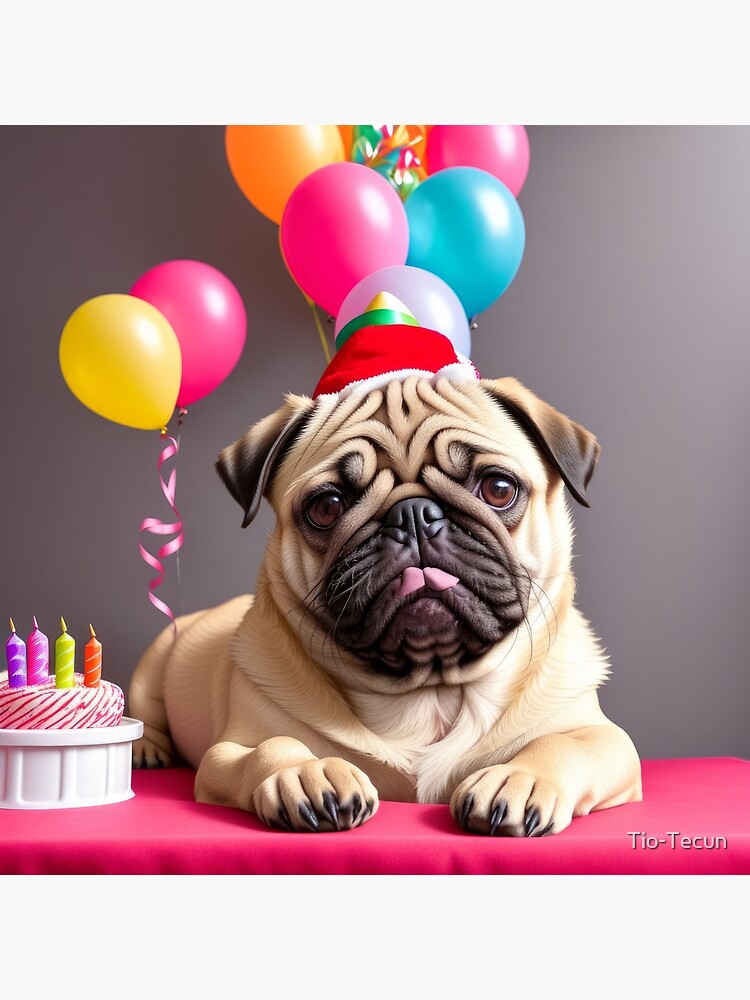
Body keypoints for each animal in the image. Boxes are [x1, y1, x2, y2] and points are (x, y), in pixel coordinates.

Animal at [128, 376, 640, 836]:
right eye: (327, 506)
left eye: (498, 488)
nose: (413, 514)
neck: (429, 688)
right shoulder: (228, 751)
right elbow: (273, 745)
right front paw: (307, 773)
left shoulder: (604, 739)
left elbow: (562, 745)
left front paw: (519, 779)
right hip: (156, 660)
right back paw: (145, 748)